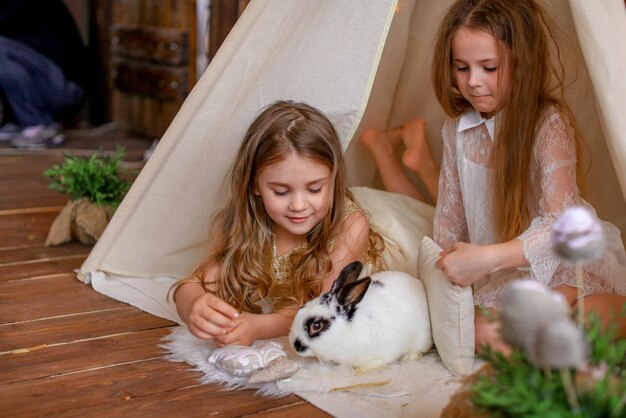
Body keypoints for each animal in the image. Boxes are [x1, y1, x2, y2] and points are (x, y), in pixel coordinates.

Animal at [286, 260, 428, 370]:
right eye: (301, 307)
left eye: (316, 326)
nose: (294, 344)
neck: (345, 332)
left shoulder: (381, 355)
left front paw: (358, 372)